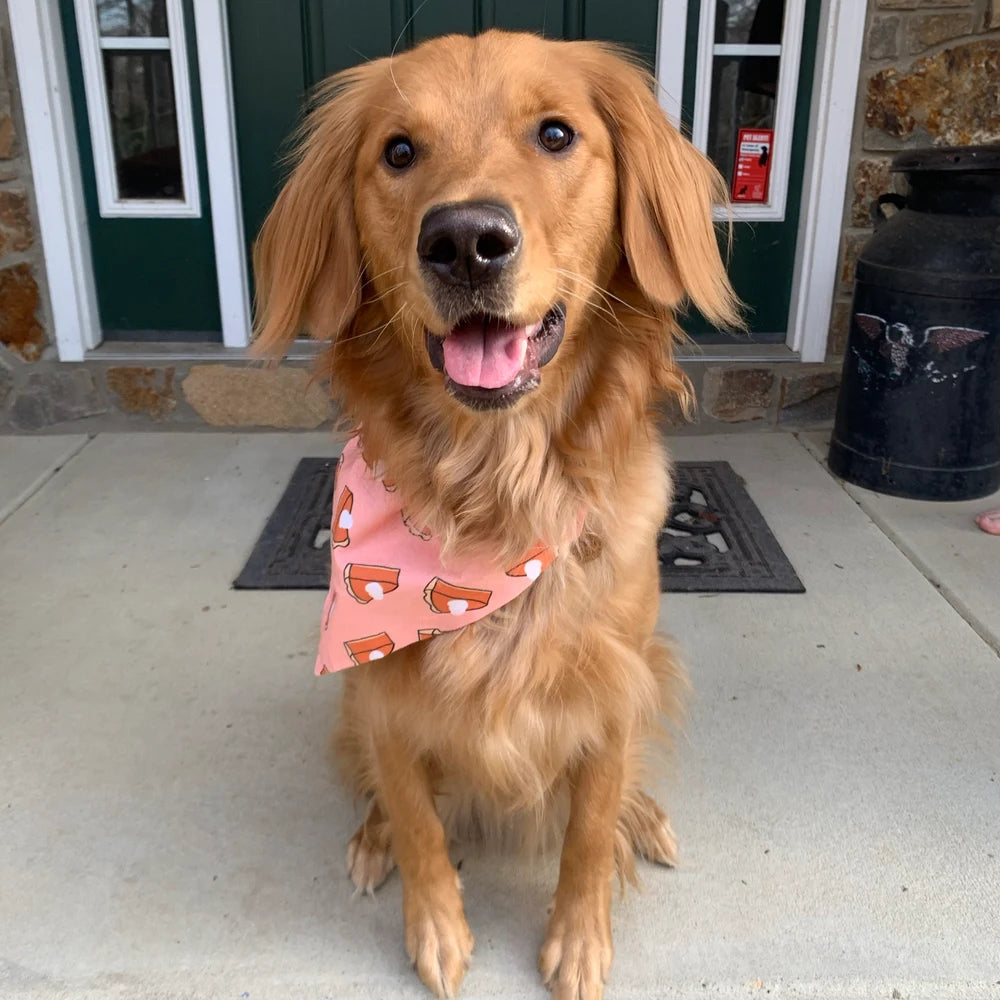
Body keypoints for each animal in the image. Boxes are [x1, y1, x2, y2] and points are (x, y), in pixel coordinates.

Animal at [256, 27, 744, 996]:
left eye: (555, 134)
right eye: (398, 152)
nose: (465, 241)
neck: (492, 502)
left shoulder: (612, 682)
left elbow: (588, 825)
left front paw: (581, 938)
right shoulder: (385, 689)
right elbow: (416, 817)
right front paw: (436, 927)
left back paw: (644, 816)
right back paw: (370, 841)